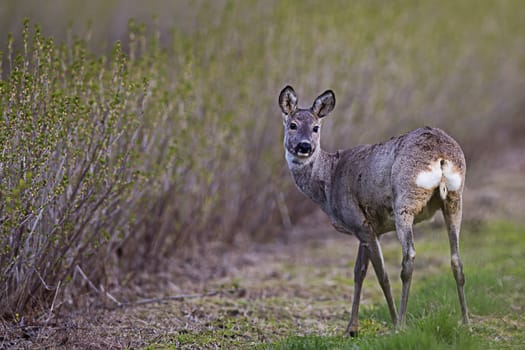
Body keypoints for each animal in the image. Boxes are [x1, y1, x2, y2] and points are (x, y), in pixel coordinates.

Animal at [280, 85, 468, 336]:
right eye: (292, 124)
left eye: (315, 127)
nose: (304, 146)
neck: (328, 182)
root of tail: (441, 156)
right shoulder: (368, 228)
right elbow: (358, 272)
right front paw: (351, 329)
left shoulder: (359, 222)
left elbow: (381, 275)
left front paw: (388, 322)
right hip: (454, 200)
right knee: (456, 258)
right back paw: (466, 322)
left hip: (405, 199)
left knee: (409, 257)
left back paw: (400, 324)